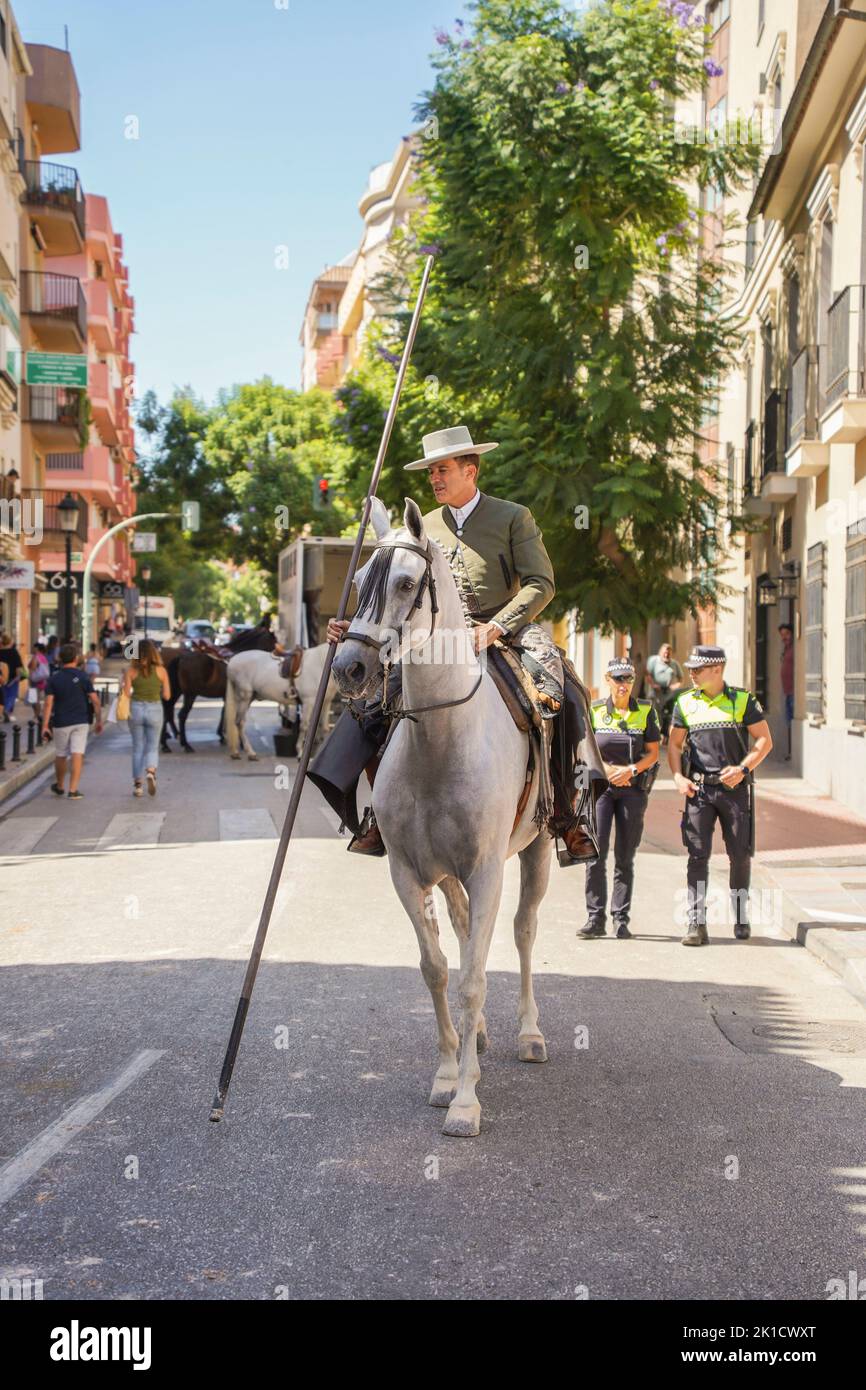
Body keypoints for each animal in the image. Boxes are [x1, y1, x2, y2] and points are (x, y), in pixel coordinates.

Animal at [329, 497, 554, 1138]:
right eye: (359, 579)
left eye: (407, 583)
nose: (350, 668)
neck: (440, 741)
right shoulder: (407, 872)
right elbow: (436, 968)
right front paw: (449, 1075)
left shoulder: (487, 870)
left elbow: (475, 976)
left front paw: (467, 1103)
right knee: (460, 929)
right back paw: (476, 1036)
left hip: (537, 849)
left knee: (522, 931)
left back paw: (529, 1034)